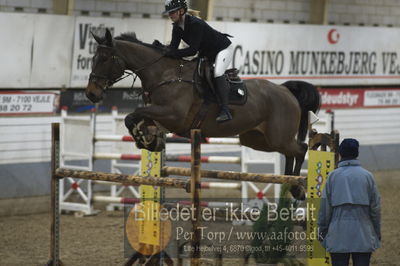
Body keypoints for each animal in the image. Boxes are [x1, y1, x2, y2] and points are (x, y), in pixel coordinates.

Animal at [86, 29, 320, 200]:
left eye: (105, 58)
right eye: (94, 58)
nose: (91, 93)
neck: (164, 74)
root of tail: (286, 91)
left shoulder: (173, 115)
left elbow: (133, 115)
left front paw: (146, 139)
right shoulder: (160, 115)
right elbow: (135, 118)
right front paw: (150, 140)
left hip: (277, 137)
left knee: (301, 148)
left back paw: (298, 187)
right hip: (259, 140)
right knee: (290, 152)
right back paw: (290, 184)